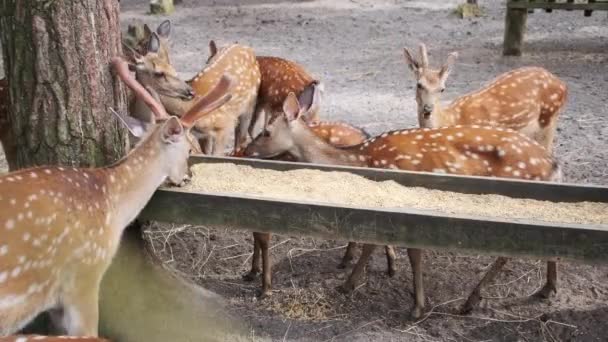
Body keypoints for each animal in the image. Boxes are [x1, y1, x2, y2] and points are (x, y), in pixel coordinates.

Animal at [241, 91, 560, 320]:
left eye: (266, 131)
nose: (246, 150)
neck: (362, 159)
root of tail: (552, 165)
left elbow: (409, 251)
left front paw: (416, 307)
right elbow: (373, 243)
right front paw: (349, 283)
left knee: (511, 250)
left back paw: (471, 300)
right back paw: (547, 289)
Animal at [404, 44, 568, 154]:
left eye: (442, 89)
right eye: (419, 85)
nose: (428, 109)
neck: (452, 119)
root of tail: (563, 85)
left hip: (550, 117)